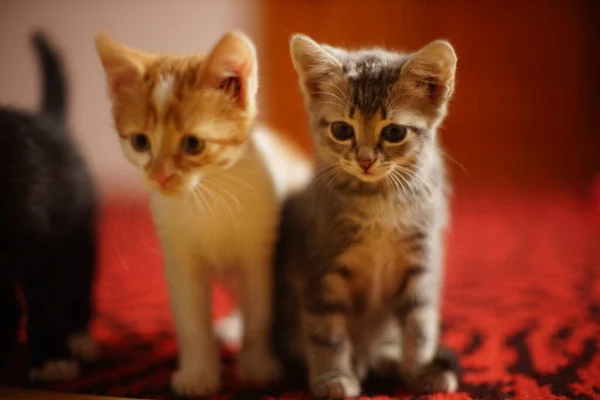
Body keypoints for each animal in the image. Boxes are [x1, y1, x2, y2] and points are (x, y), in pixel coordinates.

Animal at [0, 30, 98, 382]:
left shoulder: (31, 233)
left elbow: (42, 297)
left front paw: (51, 359)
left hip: (78, 228)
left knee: (78, 278)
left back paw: (78, 338)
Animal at [95, 31, 310, 396]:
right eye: (140, 142)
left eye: (193, 144)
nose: (160, 177)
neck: (207, 196)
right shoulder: (180, 259)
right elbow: (192, 322)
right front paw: (198, 373)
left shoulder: (259, 254)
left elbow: (259, 312)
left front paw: (256, 367)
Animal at [274, 36, 462, 398]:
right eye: (341, 129)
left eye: (394, 133)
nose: (364, 160)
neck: (378, 200)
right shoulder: (321, 265)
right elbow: (325, 331)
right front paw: (333, 376)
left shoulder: (422, 259)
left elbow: (419, 320)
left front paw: (420, 370)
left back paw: (386, 357)